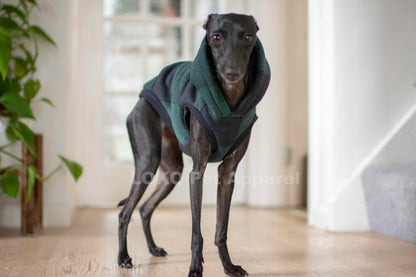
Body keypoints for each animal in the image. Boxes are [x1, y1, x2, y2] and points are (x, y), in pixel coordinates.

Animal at [117, 13, 270, 276]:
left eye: (248, 37)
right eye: (216, 37)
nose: (232, 73)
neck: (229, 102)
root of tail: (140, 99)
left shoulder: (227, 174)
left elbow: (221, 228)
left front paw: (228, 266)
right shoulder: (197, 172)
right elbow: (196, 232)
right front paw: (196, 269)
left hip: (172, 172)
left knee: (145, 208)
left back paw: (153, 249)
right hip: (147, 162)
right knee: (124, 213)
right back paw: (123, 257)